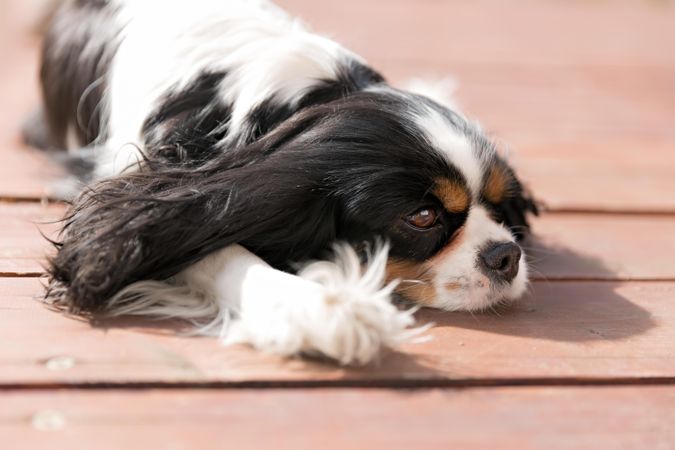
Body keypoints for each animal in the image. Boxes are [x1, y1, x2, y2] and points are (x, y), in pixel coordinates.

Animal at [27, 0, 540, 366]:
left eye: (499, 205)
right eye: (423, 217)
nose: (506, 255)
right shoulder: (151, 191)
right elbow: (206, 245)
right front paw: (325, 310)